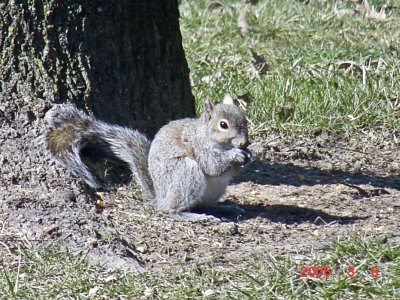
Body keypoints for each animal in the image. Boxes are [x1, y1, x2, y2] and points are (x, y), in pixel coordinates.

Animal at [43, 96, 250, 218]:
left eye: (245, 120)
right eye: (223, 125)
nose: (244, 143)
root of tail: (160, 198)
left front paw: (248, 155)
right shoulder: (198, 146)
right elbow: (213, 166)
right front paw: (235, 154)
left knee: (202, 205)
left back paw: (223, 208)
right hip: (185, 173)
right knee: (173, 209)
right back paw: (190, 215)